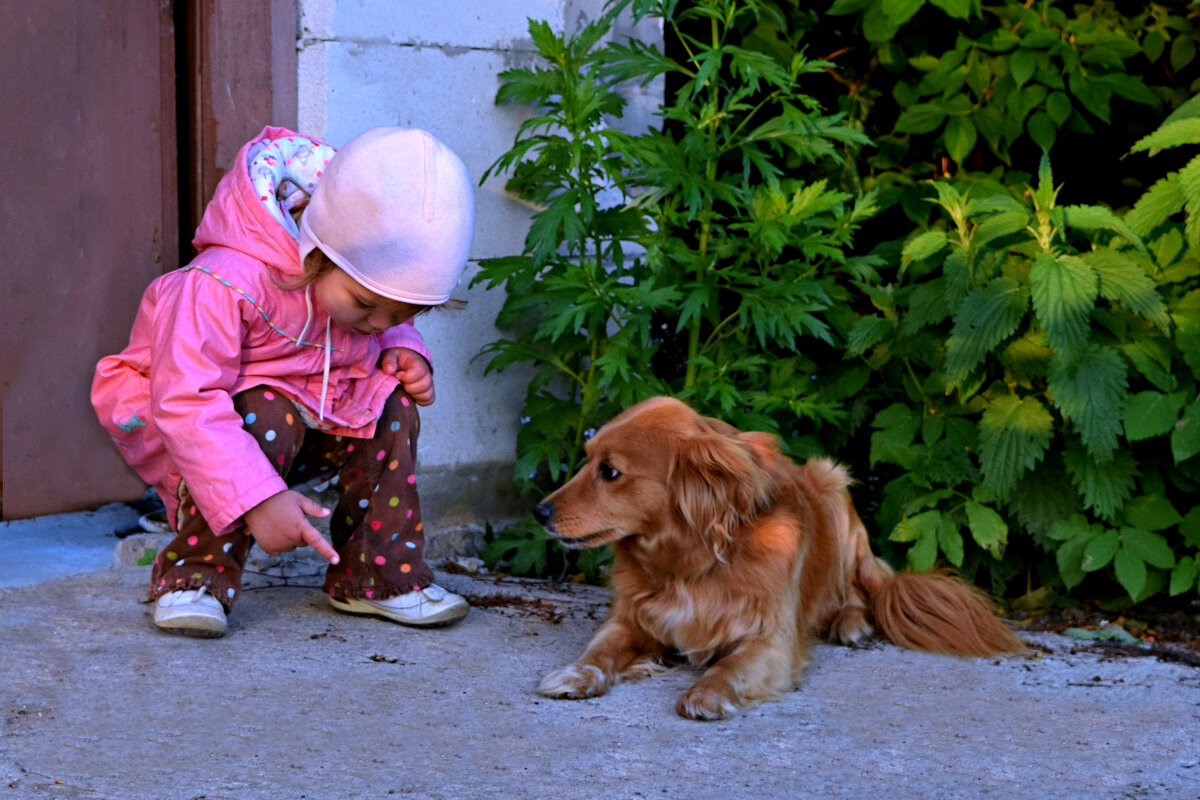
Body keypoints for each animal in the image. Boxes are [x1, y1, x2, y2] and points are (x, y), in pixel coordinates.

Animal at [535, 398, 1032, 719]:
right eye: (587, 459)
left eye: (610, 472)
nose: (539, 512)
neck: (690, 565)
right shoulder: (629, 621)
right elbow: (600, 650)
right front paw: (575, 675)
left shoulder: (770, 641)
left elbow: (729, 666)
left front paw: (707, 693)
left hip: (834, 488)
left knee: (856, 589)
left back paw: (851, 622)